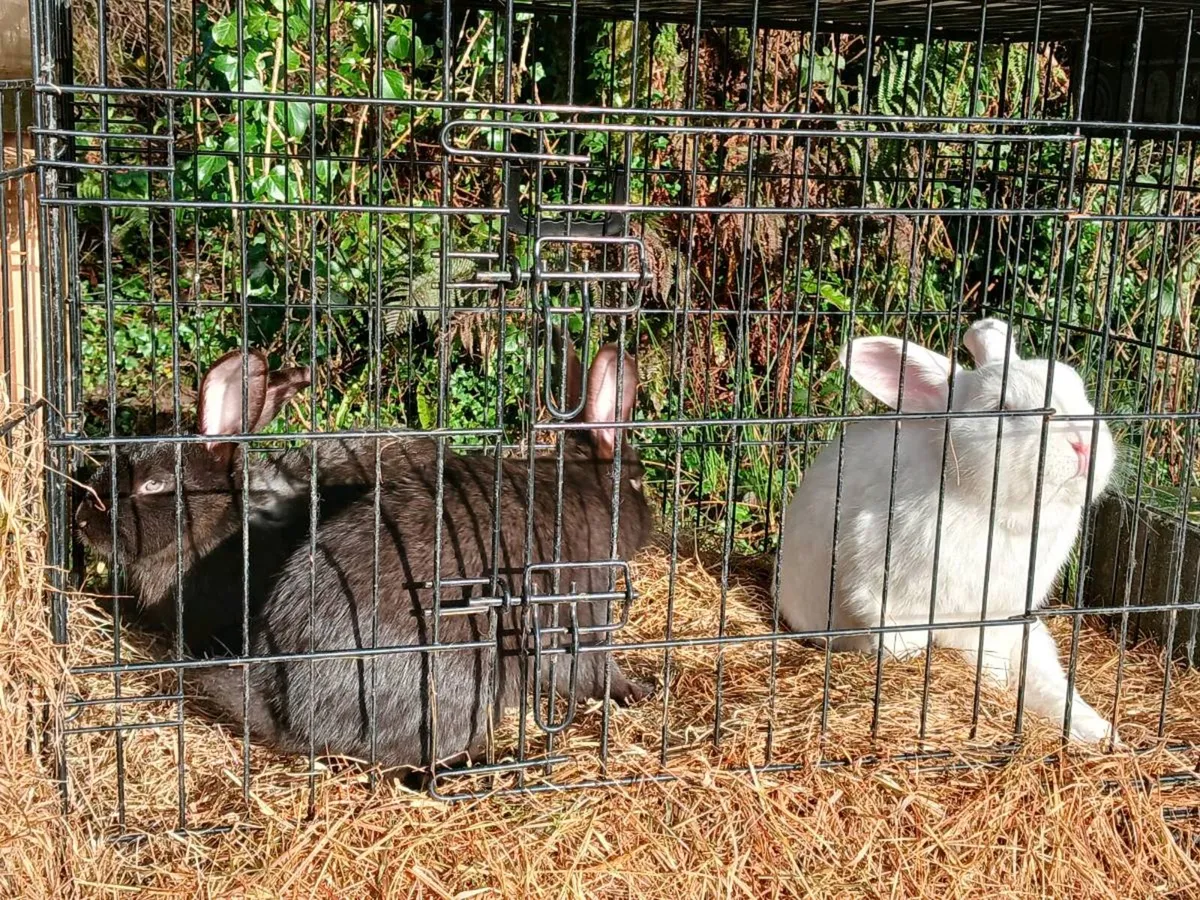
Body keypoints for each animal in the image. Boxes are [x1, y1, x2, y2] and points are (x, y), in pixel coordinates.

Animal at [775, 318, 1117, 744]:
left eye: (1079, 390)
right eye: (1002, 409)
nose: (1083, 444)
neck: (994, 511)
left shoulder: (1002, 617)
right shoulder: (891, 600)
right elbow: (904, 644)